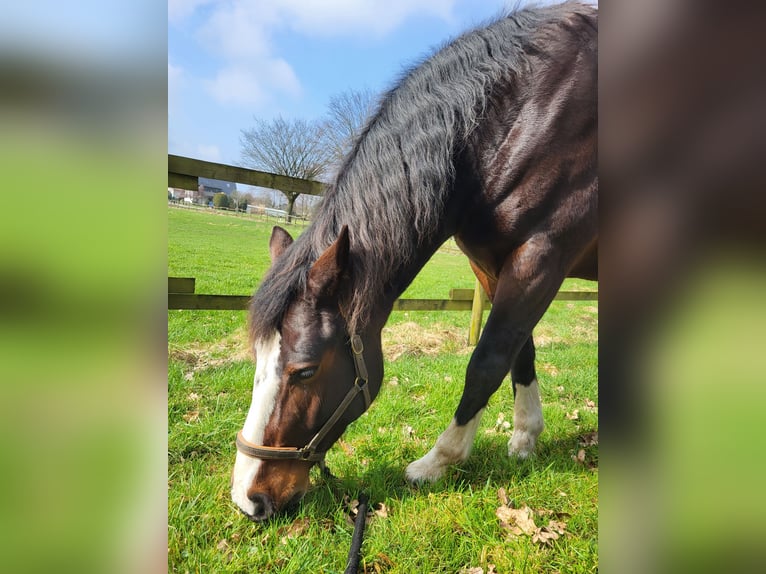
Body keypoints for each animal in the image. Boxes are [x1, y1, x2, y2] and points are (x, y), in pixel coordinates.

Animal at [231, 0, 596, 520]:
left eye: (304, 370)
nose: (248, 498)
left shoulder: (543, 254)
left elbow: (487, 360)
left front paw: (439, 460)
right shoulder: (496, 264)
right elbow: (519, 350)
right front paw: (526, 439)